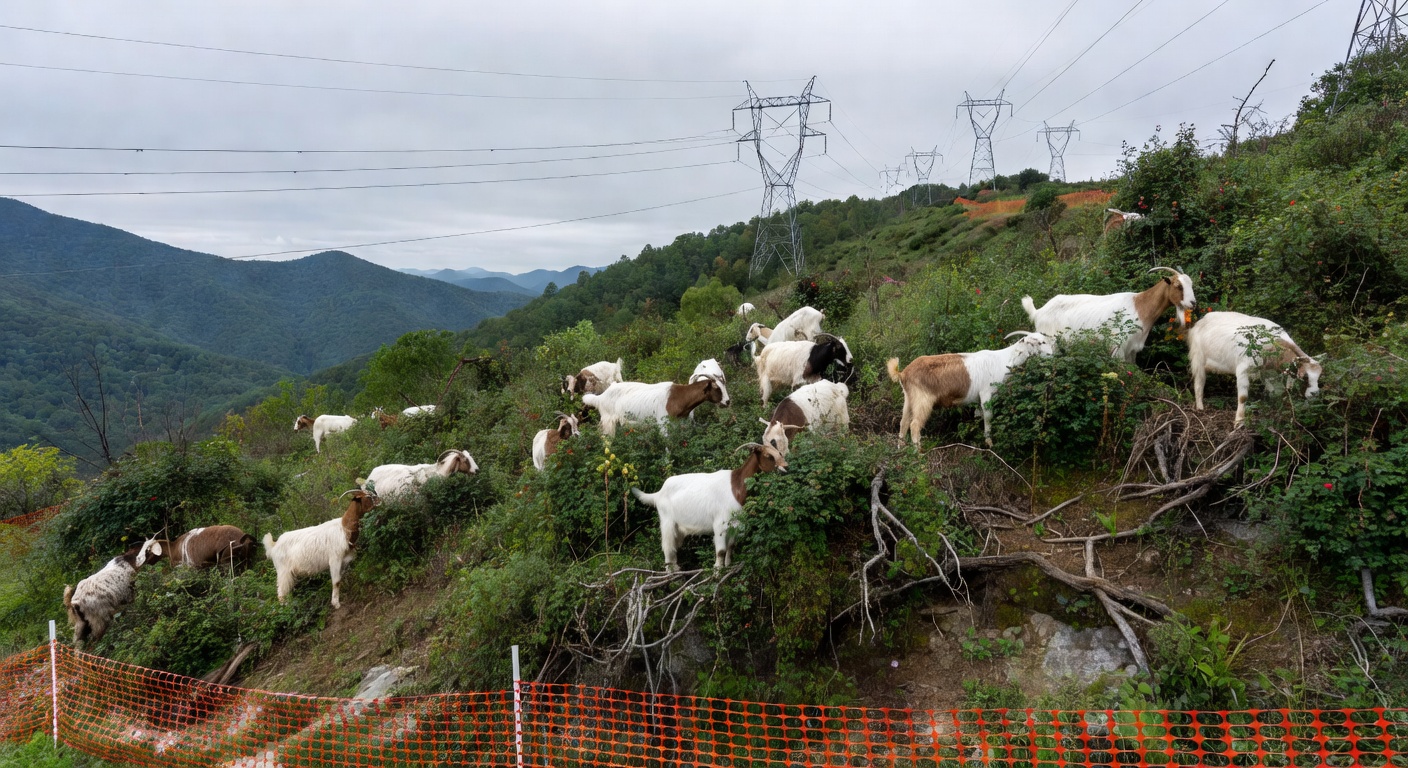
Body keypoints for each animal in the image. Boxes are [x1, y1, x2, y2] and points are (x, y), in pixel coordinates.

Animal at [582, 377, 730, 436]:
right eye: (717, 388)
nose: (727, 401)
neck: (676, 397)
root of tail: (600, 398)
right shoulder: (662, 425)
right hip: (608, 423)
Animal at [630, 443, 788, 571]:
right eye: (768, 456)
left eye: (779, 452)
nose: (785, 467)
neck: (736, 486)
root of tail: (658, 494)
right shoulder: (720, 525)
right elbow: (721, 551)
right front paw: (717, 572)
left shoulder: (735, 524)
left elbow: (731, 547)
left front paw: (728, 566)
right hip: (667, 522)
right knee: (667, 548)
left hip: (679, 528)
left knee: (674, 548)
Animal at [887, 332, 1056, 447]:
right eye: (1041, 342)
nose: (1052, 355)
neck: (1003, 361)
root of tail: (903, 373)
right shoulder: (986, 394)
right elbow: (988, 416)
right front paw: (989, 444)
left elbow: (979, 415)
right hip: (923, 400)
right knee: (914, 425)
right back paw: (919, 455)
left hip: (909, 399)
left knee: (903, 423)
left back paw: (902, 449)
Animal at [1021, 267, 1196, 362]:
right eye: (1178, 286)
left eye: (1191, 284)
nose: (1193, 303)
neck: (1140, 306)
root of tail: (1038, 312)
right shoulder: (1118, 345)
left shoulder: (1132, 348)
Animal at [1186, 311, 1323, 428]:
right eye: (1305, 376)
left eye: (1319, 378)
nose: (1315, 394)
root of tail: (1202, 320)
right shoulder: (1243, 370)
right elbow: (1243, 398)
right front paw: (1239, 422)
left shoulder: (1266, 371)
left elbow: (1274, 392)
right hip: (1198, 359)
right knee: (1199, 384)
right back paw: (1200, 408)